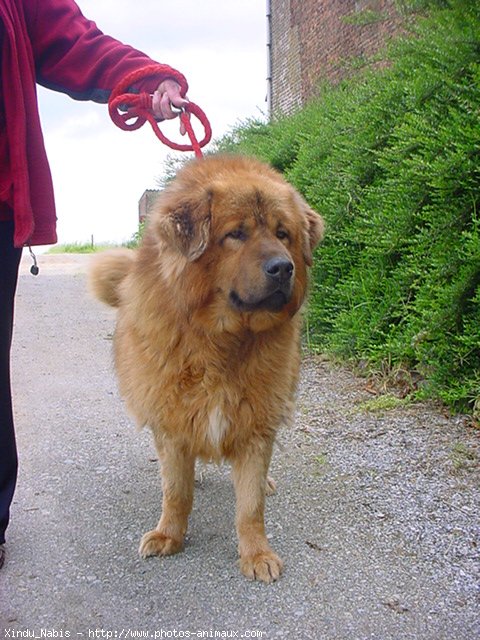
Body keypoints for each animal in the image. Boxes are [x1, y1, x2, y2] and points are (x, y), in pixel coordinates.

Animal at [89, 154, 322, 580]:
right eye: (236, 234)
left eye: (283, 233)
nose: (283, 268)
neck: (222, 338)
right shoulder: (171, 419)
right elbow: (176, 492)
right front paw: (170, 535)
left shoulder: (257, 422)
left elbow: (250, 506)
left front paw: (255, 553)